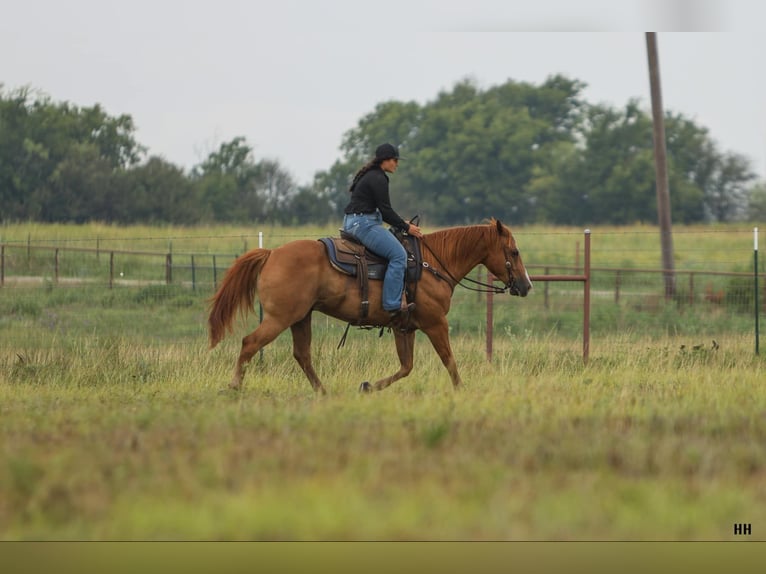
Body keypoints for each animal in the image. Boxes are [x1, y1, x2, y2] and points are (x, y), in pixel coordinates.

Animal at [207, 218, 532, 394]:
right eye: (514, 252)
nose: (526, 285)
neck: (432, 263)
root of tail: (271, 253)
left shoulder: (405, 328)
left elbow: (406, 367)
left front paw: (367, 387)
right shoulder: (436, 323)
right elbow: (449, 362)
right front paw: (461, 392)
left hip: (300, 317)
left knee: (302, 355)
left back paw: (323, 392)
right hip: (279, 318)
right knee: (250, 343)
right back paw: (234, 386)